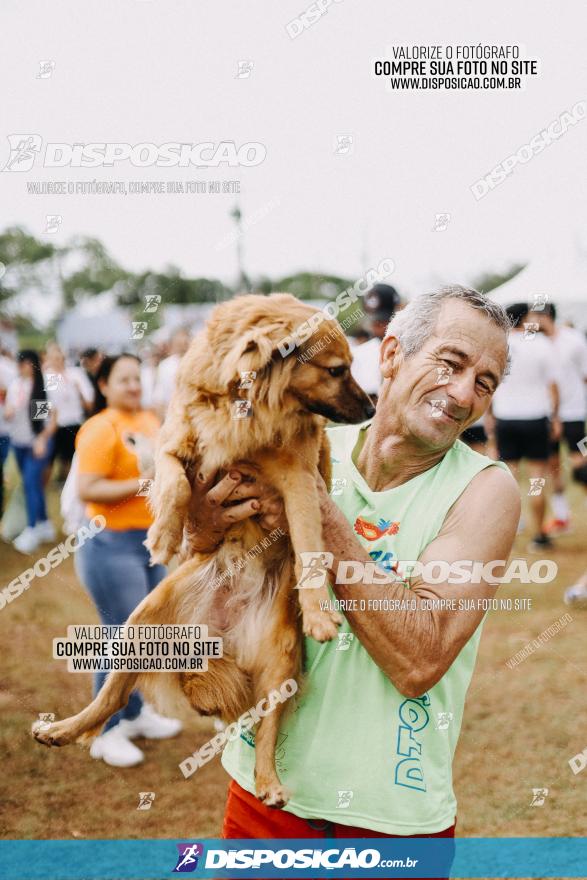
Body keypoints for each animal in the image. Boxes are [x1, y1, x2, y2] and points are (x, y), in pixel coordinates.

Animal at [33, 292, 372, 808]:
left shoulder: (299, 481)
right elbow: (173, 482)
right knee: (112, 697)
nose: (373, 406)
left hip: (279, 665)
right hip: (138, 627)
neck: (247, 406)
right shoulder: (176, 442)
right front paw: (164, 535)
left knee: (267, 730)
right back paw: (65, 730)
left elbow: (311, 548)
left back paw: (269, 782)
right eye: (337, 370)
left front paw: (318, 612)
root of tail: (220, 638)